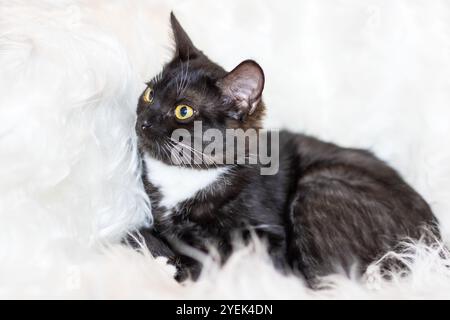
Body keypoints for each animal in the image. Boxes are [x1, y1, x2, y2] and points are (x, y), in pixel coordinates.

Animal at [133, 11, 440, 282]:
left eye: (183, 110)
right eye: (149, 93)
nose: (143, 122)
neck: (189, 176)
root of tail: (431, 247)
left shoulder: (268, 237)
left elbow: (218, 250)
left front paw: (177, 263)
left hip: (320, 187)